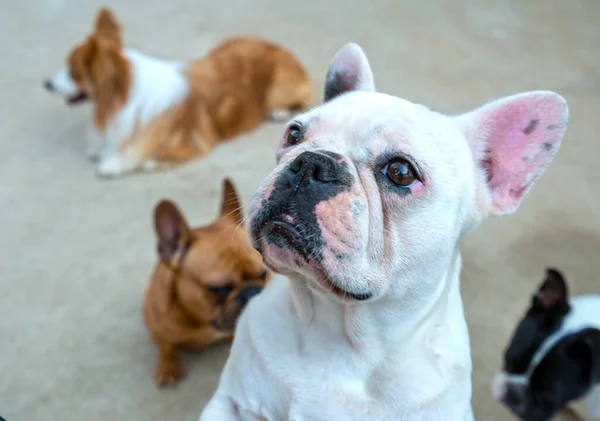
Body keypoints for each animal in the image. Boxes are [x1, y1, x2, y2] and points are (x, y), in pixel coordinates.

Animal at [43, 8, 314, 176]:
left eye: (73, 72)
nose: (46, 83)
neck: (121, 98)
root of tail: (283, 50)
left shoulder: (190, 145)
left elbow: (142, 156)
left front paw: (116, 164)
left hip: (277, 89)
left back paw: (279, 112)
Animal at [143, 179, 270, 386]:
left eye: (263, 274)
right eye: (219, 288)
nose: (253, 293)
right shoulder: (157, 328)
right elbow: (165, 345)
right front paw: (167, 365)